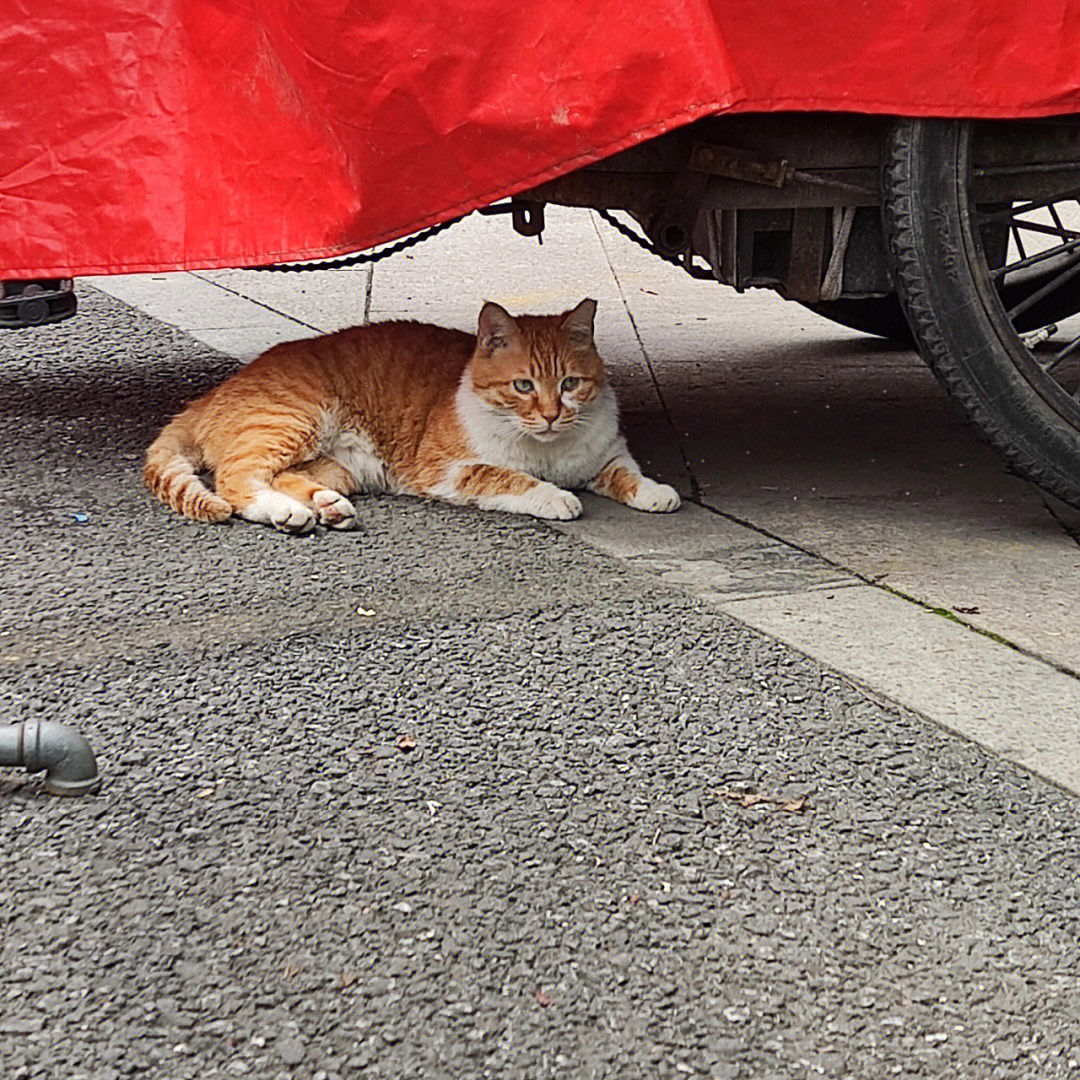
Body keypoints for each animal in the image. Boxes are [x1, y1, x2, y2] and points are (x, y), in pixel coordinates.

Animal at [145, 298, 673, 533]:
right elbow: (509, 478)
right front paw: (555, 495)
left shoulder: (604, 455)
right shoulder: (446, 470)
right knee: (236, 479)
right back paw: (284, 511)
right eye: (523, 386)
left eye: (570, 384)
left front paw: (656, 492)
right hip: (290, 419)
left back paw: (325, 507)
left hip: (338, 466)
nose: (548, 416)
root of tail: (213, 392)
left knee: (285, 476)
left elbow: (626, 473)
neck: (549, 448)